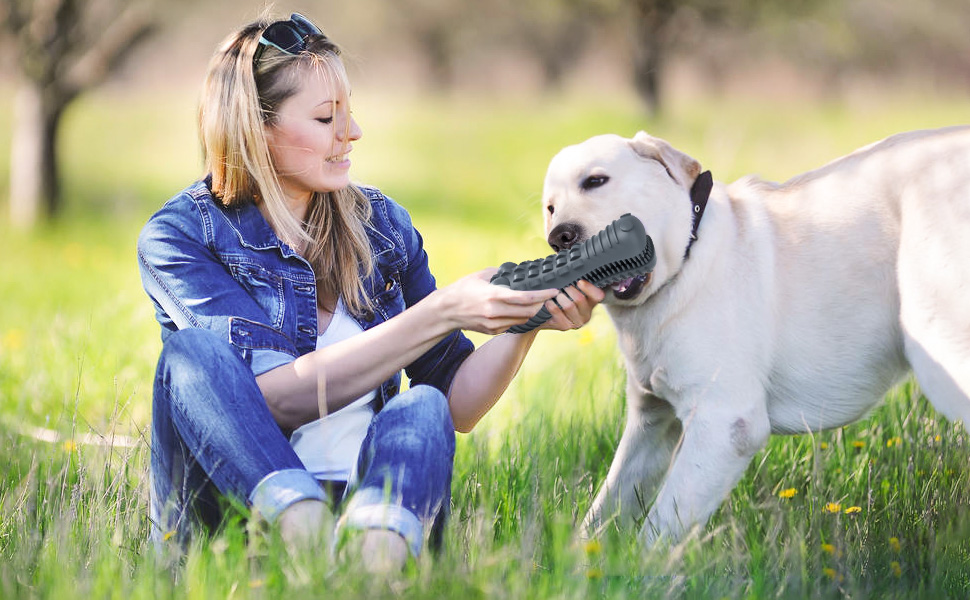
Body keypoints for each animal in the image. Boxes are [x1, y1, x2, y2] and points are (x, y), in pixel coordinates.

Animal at [540, 125, 968, 544]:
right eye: (550, 208)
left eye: (595, 181)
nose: (559, 237)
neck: (686, 256)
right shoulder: (652, 423)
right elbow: (603, 511)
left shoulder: (726, 423)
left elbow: (657, 531)